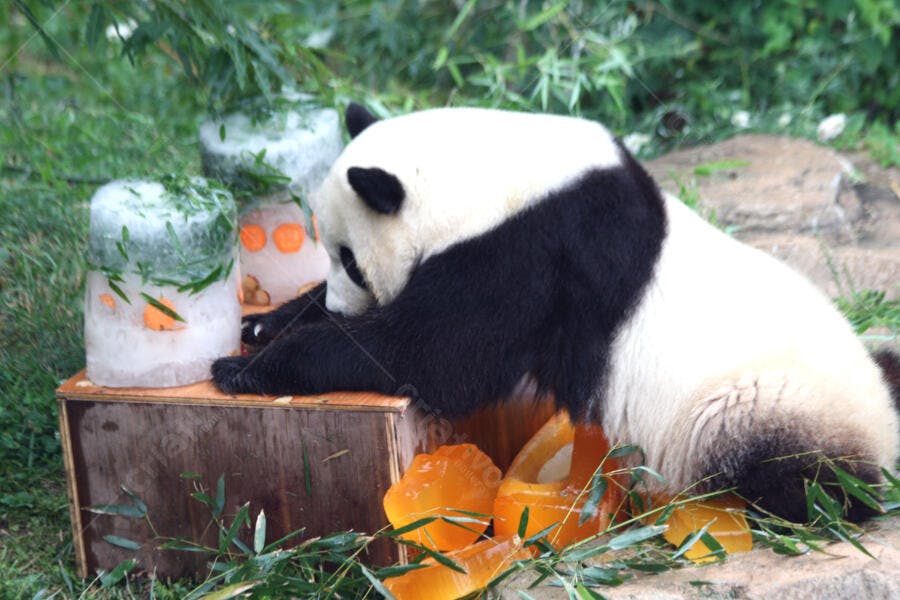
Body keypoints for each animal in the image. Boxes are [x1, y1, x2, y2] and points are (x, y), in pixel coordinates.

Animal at [213, 103, 899, 523]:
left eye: (350, 260)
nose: (337, 303)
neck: (485, 170)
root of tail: (886, 428)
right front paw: (263, 325)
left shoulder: (534, 253)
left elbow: (434, 355)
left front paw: (246, 369)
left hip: (759, 405)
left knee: (798, 473)